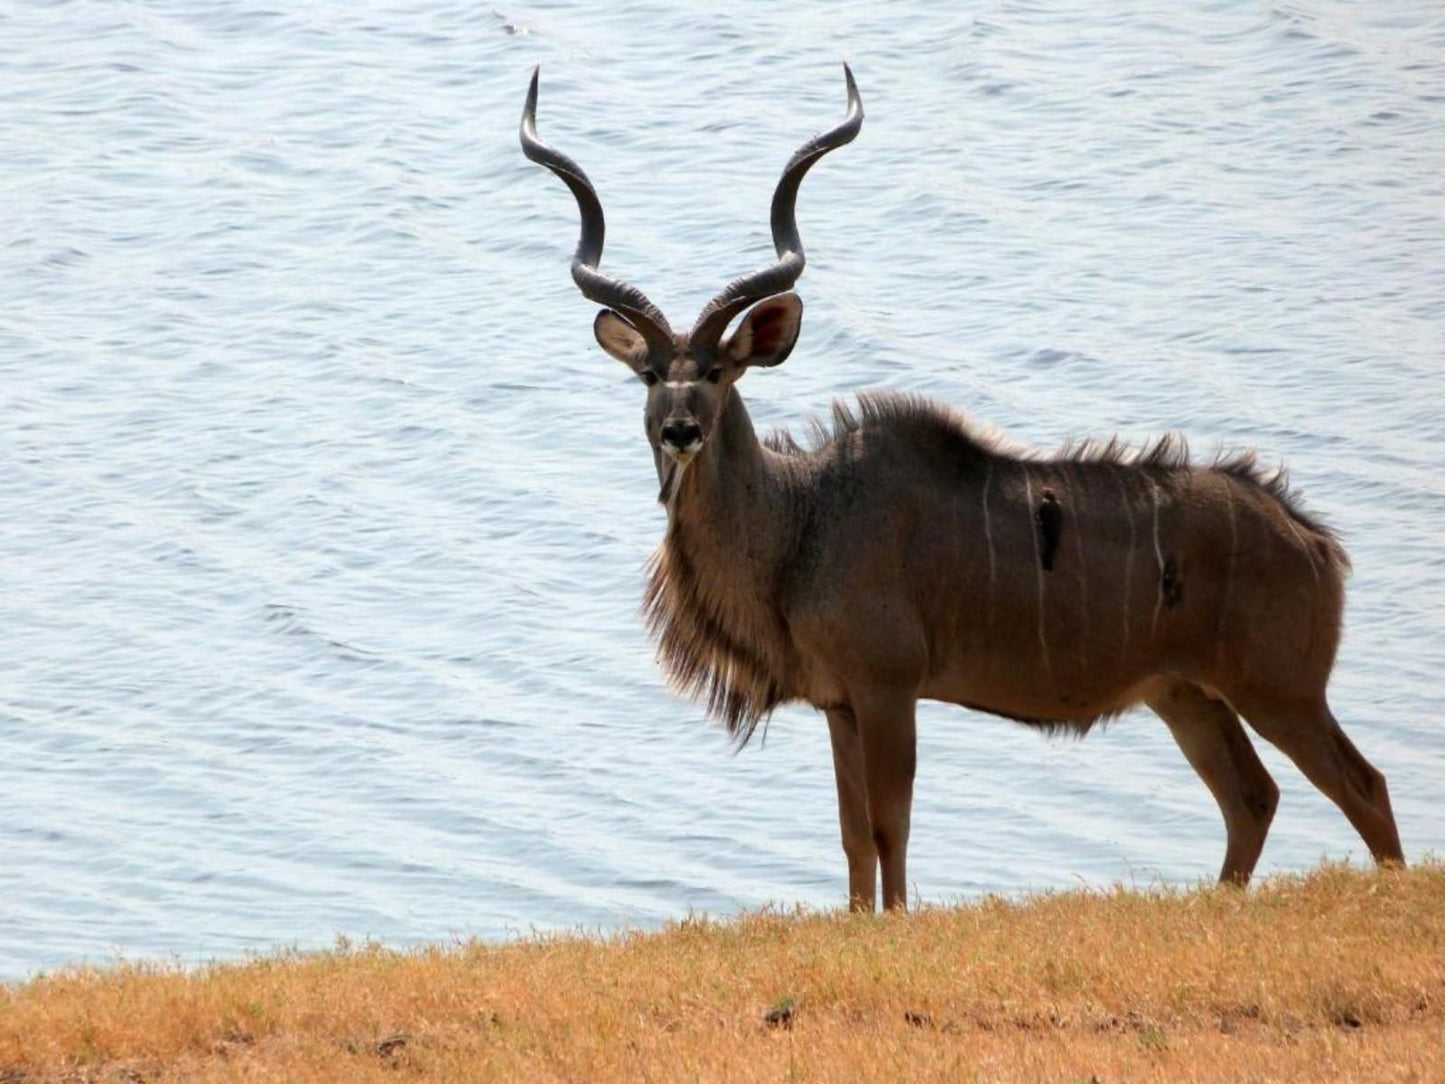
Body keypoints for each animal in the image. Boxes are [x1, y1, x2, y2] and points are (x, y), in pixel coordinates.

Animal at [520, 63, 1398, 913]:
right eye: (649, 375)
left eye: (714, 373)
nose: (679, 430)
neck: (803, 517)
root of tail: (1312, 541)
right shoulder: (839, 703)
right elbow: (851, 836)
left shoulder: (888, 688)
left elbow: (889, 824)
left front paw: (896, 925)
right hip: (1185, 695)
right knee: (1251, 796)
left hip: (1277, 688)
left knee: (1362, 783)